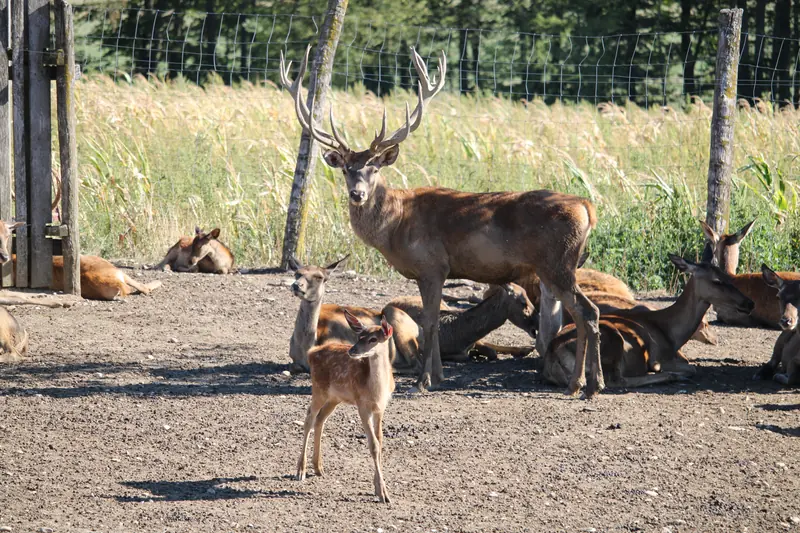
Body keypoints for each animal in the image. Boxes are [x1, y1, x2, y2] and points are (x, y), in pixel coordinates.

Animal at [288, 256, 423, 373]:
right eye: (297, 273)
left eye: (319, 277)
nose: (296, 285)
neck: (305, 348)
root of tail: (419, 328)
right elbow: (294, 366)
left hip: (397, 320)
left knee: (416, 364)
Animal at [296, 309, 395, 503]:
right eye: (359, 336)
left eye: (373, 339)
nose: (352, 350)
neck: (377, 391)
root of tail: (312, 352)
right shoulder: (362, 405)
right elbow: (373, 445)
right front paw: (383, 494)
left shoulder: (380, 408)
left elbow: (380, 442)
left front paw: (377, 488)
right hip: (318, 389)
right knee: (309, 418)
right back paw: (300, 470)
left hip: (335, 398)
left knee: (320, 419)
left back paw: (318, 467)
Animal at [543, 255, 754, 389]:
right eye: (716, 280)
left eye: (728, 276)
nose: (749, 302)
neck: (671, 333)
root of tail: (552, 354)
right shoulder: (660, 354)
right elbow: (691, 367)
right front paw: (665, 370)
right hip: (613, 340)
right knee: (615, 380)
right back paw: (669, 376)